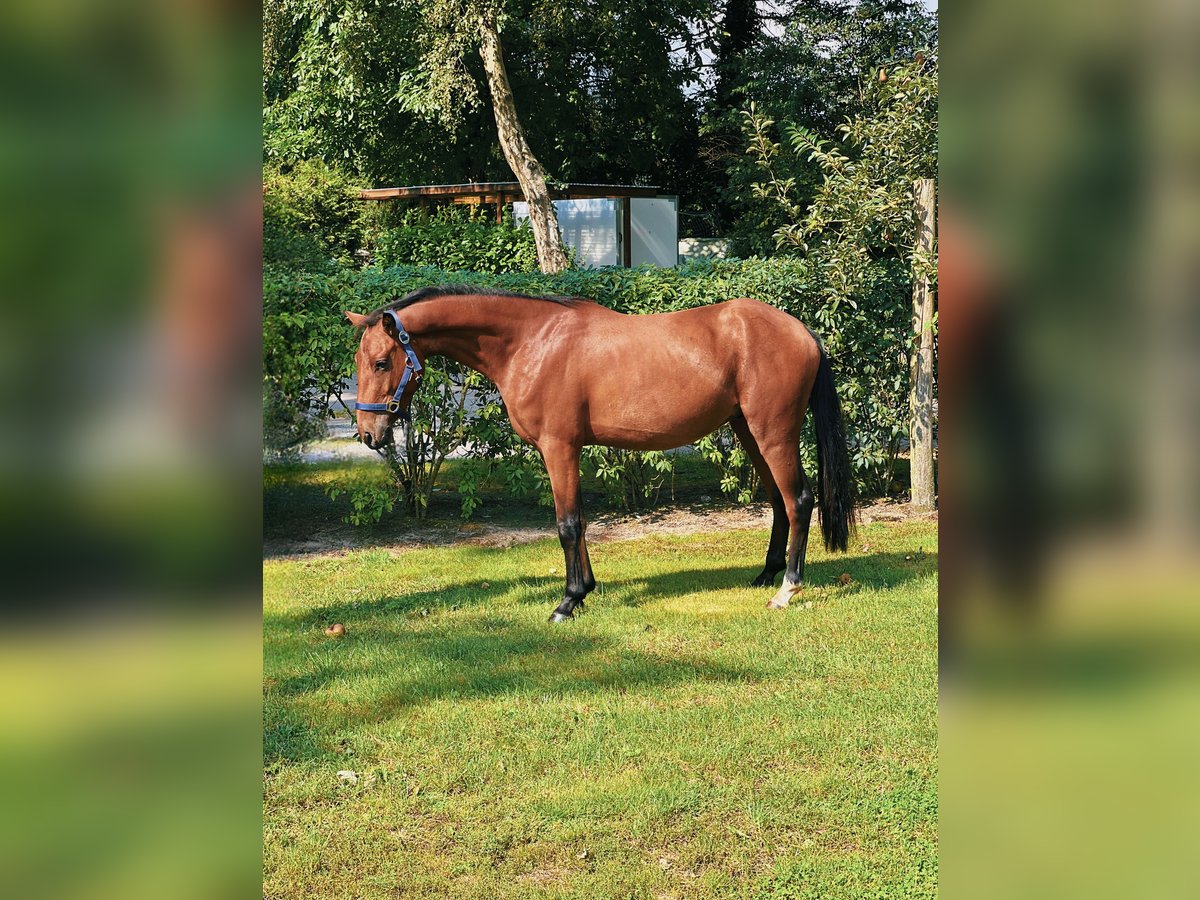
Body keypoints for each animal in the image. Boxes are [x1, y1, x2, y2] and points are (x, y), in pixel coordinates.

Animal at [343, 286, 859, 619]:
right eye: (359, 361)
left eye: (382, 362)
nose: (369, 433)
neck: (532, 341)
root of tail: (802, 332)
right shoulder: (567, 451)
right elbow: (582, 522)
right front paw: (585, 590)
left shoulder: (559, 448)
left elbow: (568, 524)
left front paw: (568, 601)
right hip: (748, 431)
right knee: (777, 501)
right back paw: (766, 575)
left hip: (773, 433)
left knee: (799, 500)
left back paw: (787, 590)